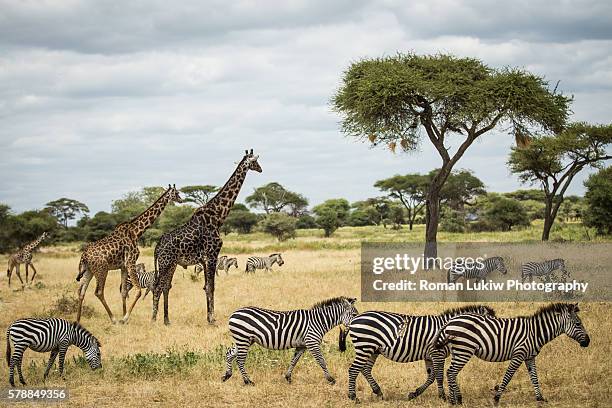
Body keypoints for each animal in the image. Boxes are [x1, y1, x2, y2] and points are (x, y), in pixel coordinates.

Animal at [74, 183, 182, 324]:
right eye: (176, 193)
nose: (181, 200)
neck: (136, 232)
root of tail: (84, 256)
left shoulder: (123, 266)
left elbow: (124, 292)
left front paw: (124, 316)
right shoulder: (131, 262)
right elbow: (138, 291)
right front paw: (124, 318)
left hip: (89, 270)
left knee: (81, 291)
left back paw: (78, 320)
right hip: (102, 270)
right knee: (98, 292)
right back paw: (113, 319)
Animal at [152, 150, 260, 326]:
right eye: (255, 161)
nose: (260, 169)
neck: (218, 217)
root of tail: (157, 248)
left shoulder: (204, 259)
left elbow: (206, 287)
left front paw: (209, 317)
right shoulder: (211, 255)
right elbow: (211, 287)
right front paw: (212, 319)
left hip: (171, 264)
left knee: (165, 286)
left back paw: (166, 320)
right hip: (165, 263)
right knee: (157, 287)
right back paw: (153, 320)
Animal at [224, 296, 358, 386]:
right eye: (354, 314)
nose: (358, 324)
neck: (319, 321)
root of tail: (234, 313)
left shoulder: (302, 345)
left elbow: (294, 361)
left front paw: (288, 377)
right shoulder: (312, 342)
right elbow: (322, 361)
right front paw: (331, 379)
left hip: (245, 340)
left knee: (229, 354)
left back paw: (227, 375)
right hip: (243, 339)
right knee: (240, 360)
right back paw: (248, 381)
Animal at [346, 304, 494, 400]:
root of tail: (354, 319)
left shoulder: (430, 356)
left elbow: (431, 376)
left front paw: (414, 394)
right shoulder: (437, 353)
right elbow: (439, 376)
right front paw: (443, 397)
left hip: (373, 350)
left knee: (365, 369)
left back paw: (378, 392)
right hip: (365, 347)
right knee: (353, 369)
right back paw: (353, 397)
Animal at [432, 302, 592, 404]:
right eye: (578, 324)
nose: (588, 342)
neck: (535, 332)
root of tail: (449, 321)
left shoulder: (530, 357)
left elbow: (534, 377)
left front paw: (540, 398)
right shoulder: (518, 354)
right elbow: (508, 376)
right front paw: (496, 398)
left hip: (458, 350)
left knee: (450, 372)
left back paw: (455, 399)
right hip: (464, 350)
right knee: (451, 372)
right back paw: (456, 400)